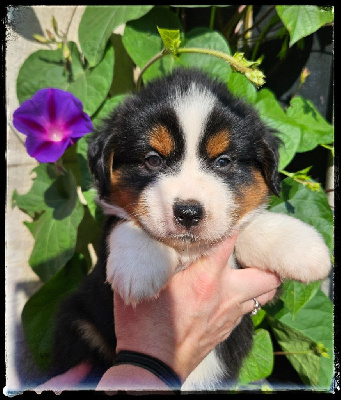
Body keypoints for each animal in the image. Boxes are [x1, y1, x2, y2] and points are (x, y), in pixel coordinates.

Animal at [51, 69, 330, 390]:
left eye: (223, 161)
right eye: (153, 160)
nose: (188, 212)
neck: (188, 252)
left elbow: (247, 226)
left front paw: (302, 246)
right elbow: (124, 223)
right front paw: (139, 265)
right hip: (80, 324)